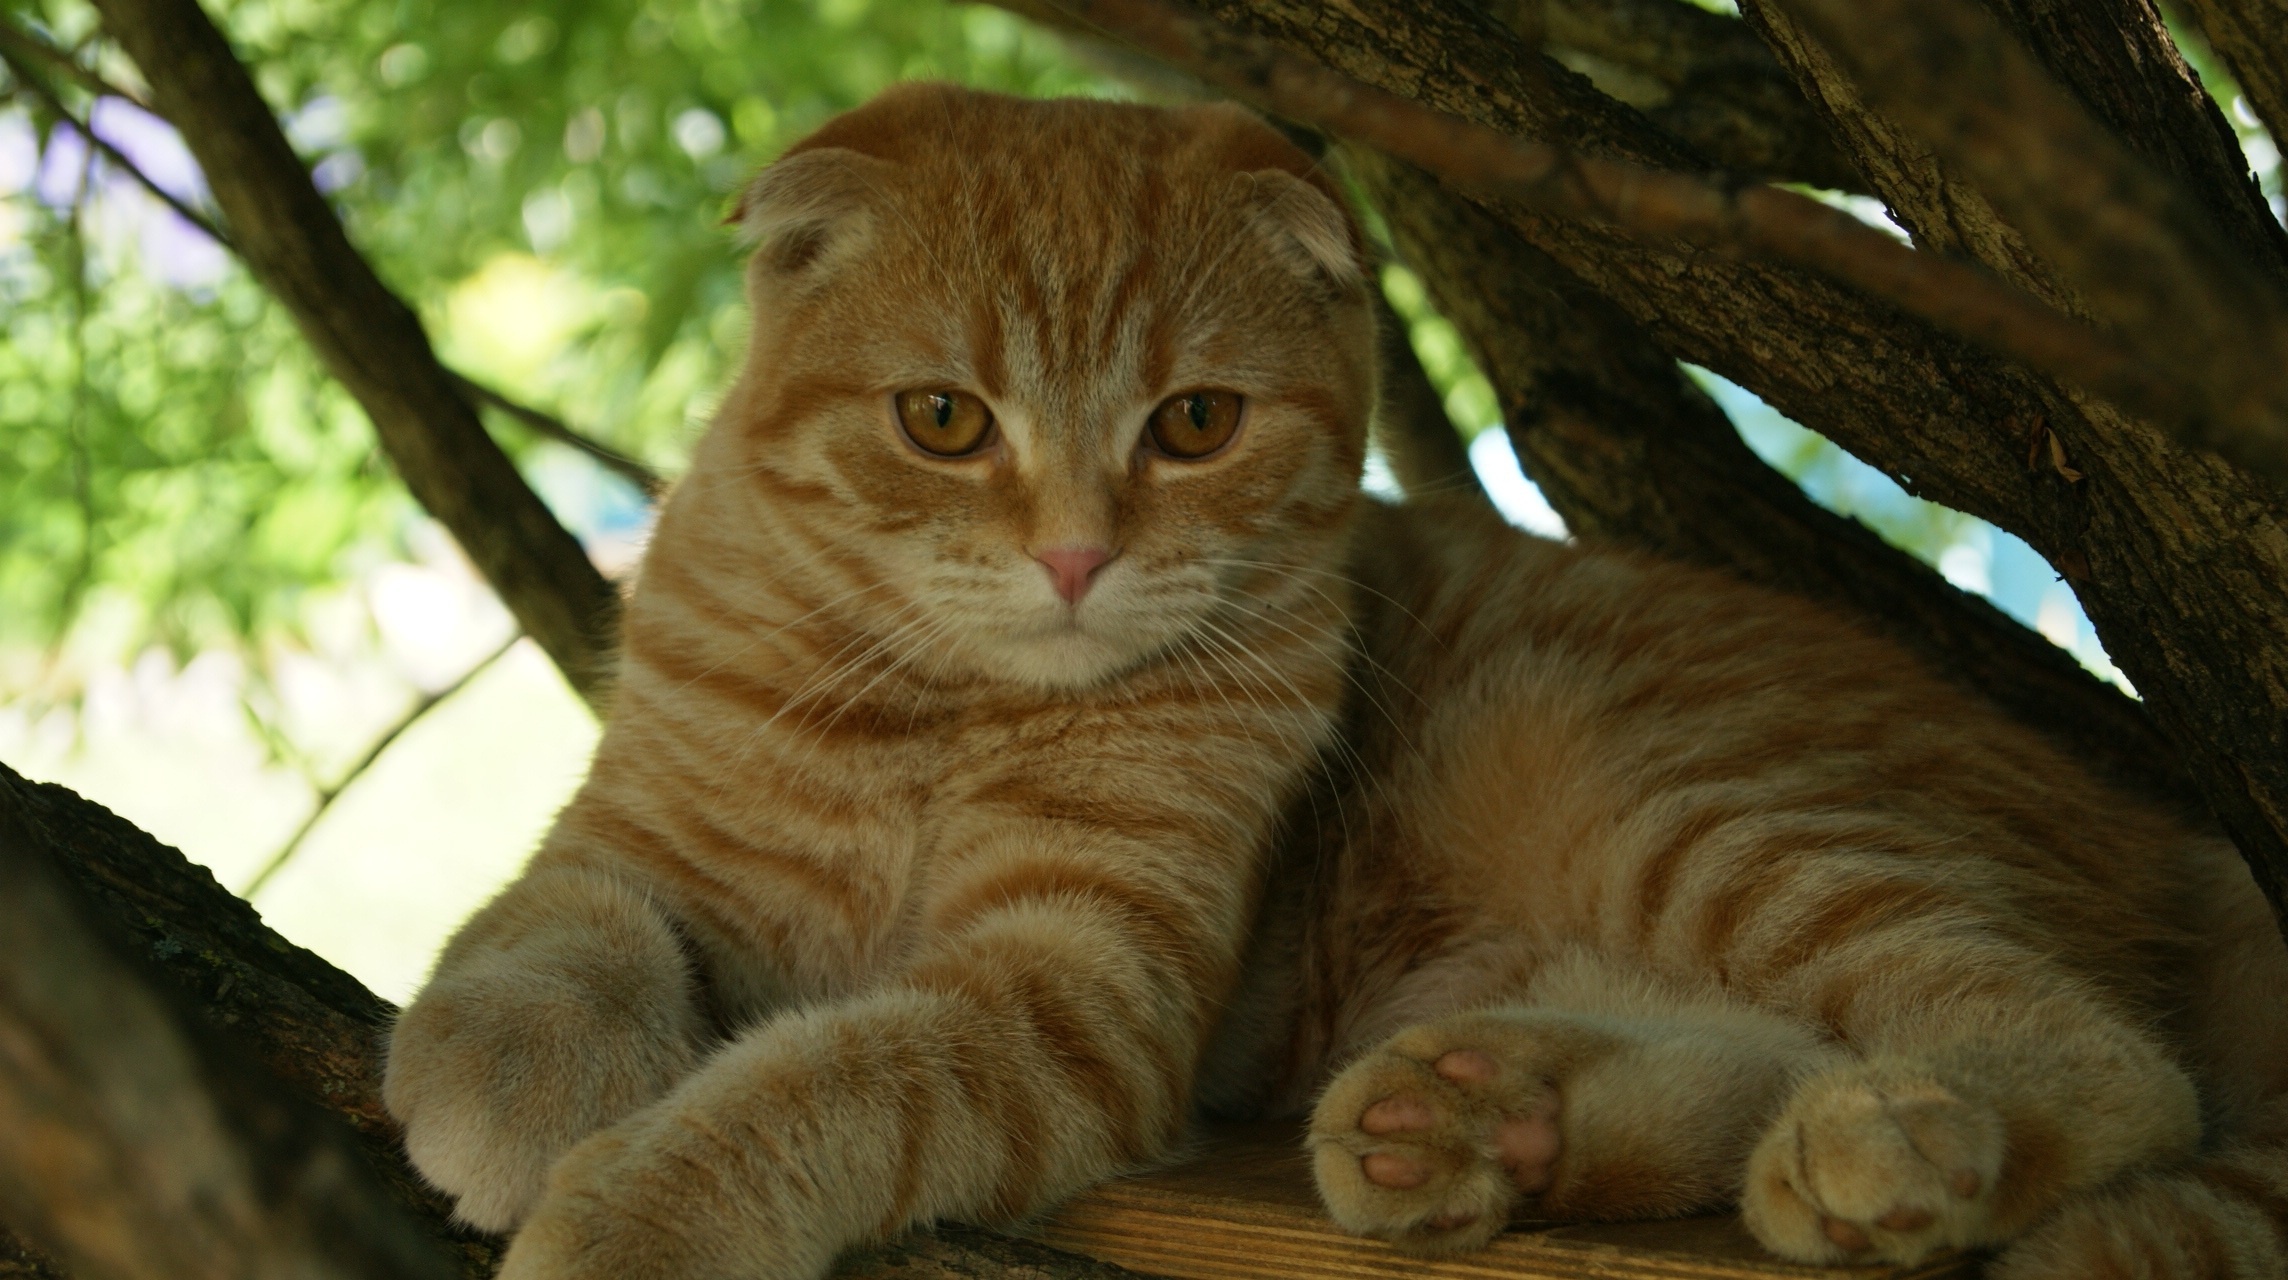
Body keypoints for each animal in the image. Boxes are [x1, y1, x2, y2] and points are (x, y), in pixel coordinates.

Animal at [379, 85, 2288, 1273]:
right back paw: (1480, 1122)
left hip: (1669, 789)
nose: (1073, 557)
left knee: (2100, 1056)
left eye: (1193, 423)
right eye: (940, 420)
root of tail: (2172, 833)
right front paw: (520, 1075)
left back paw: (1877, 1146)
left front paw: (641, 1212)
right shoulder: (645, 832)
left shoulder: (1067, 997)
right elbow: (549, 930)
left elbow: (828, 1078)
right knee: (1767, 1041)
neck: (940, 710)